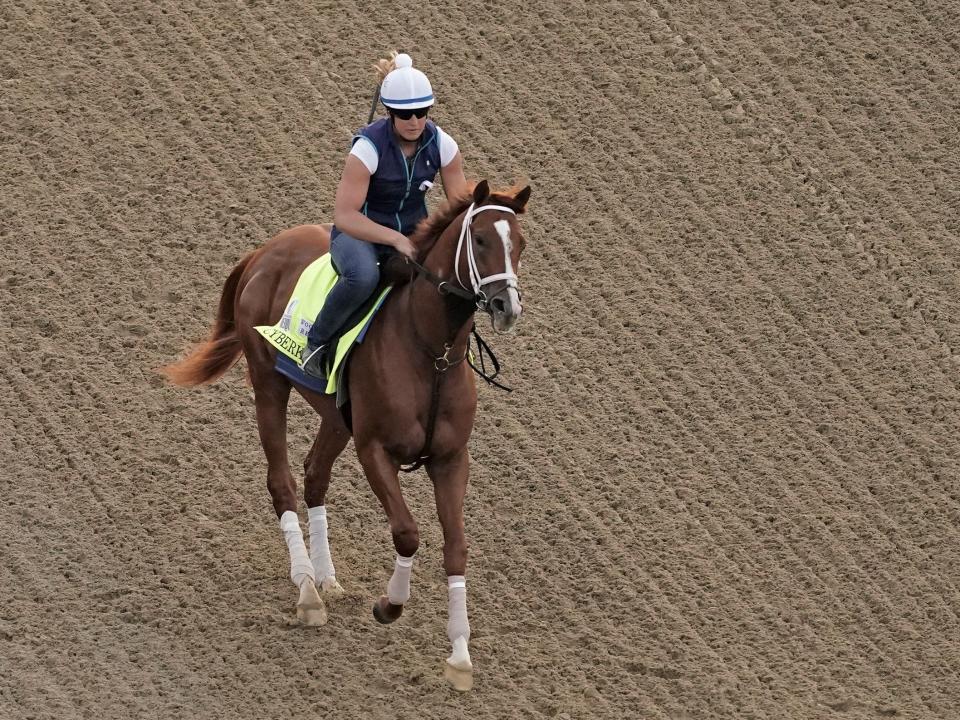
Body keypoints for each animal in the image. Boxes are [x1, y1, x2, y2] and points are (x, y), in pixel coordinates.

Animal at [161, 177, 528, 688]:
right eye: (479, 240)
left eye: (521, 244)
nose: (506, 307)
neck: (430, 352)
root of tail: (264, 250)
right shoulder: (375, 450)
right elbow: (407, 533)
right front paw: (389, 605)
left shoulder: (451, 459)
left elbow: (456, 547)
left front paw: (459, 656)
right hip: (268, 384)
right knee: (282, 482)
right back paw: (307, 591)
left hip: (336, 417)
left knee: (315, 476)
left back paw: (326, 577)